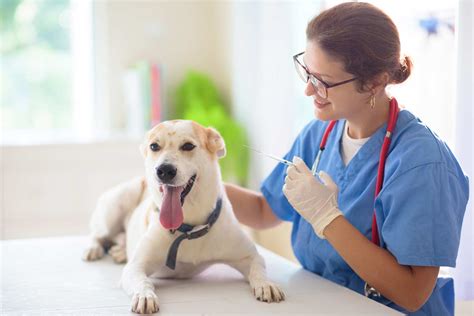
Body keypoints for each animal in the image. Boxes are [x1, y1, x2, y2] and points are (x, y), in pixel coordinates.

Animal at [82, 120, 286, 314]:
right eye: (154, 146)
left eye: (188, 146)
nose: (164, 170)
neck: (190, 227)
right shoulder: (135, 266)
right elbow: (143, 281)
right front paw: (145, 296)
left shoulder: (249, 256)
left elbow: (258, 269)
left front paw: (267, 284)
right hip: (117, 205)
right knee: (97, 234)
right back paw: (94, 249)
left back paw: (120, 251)